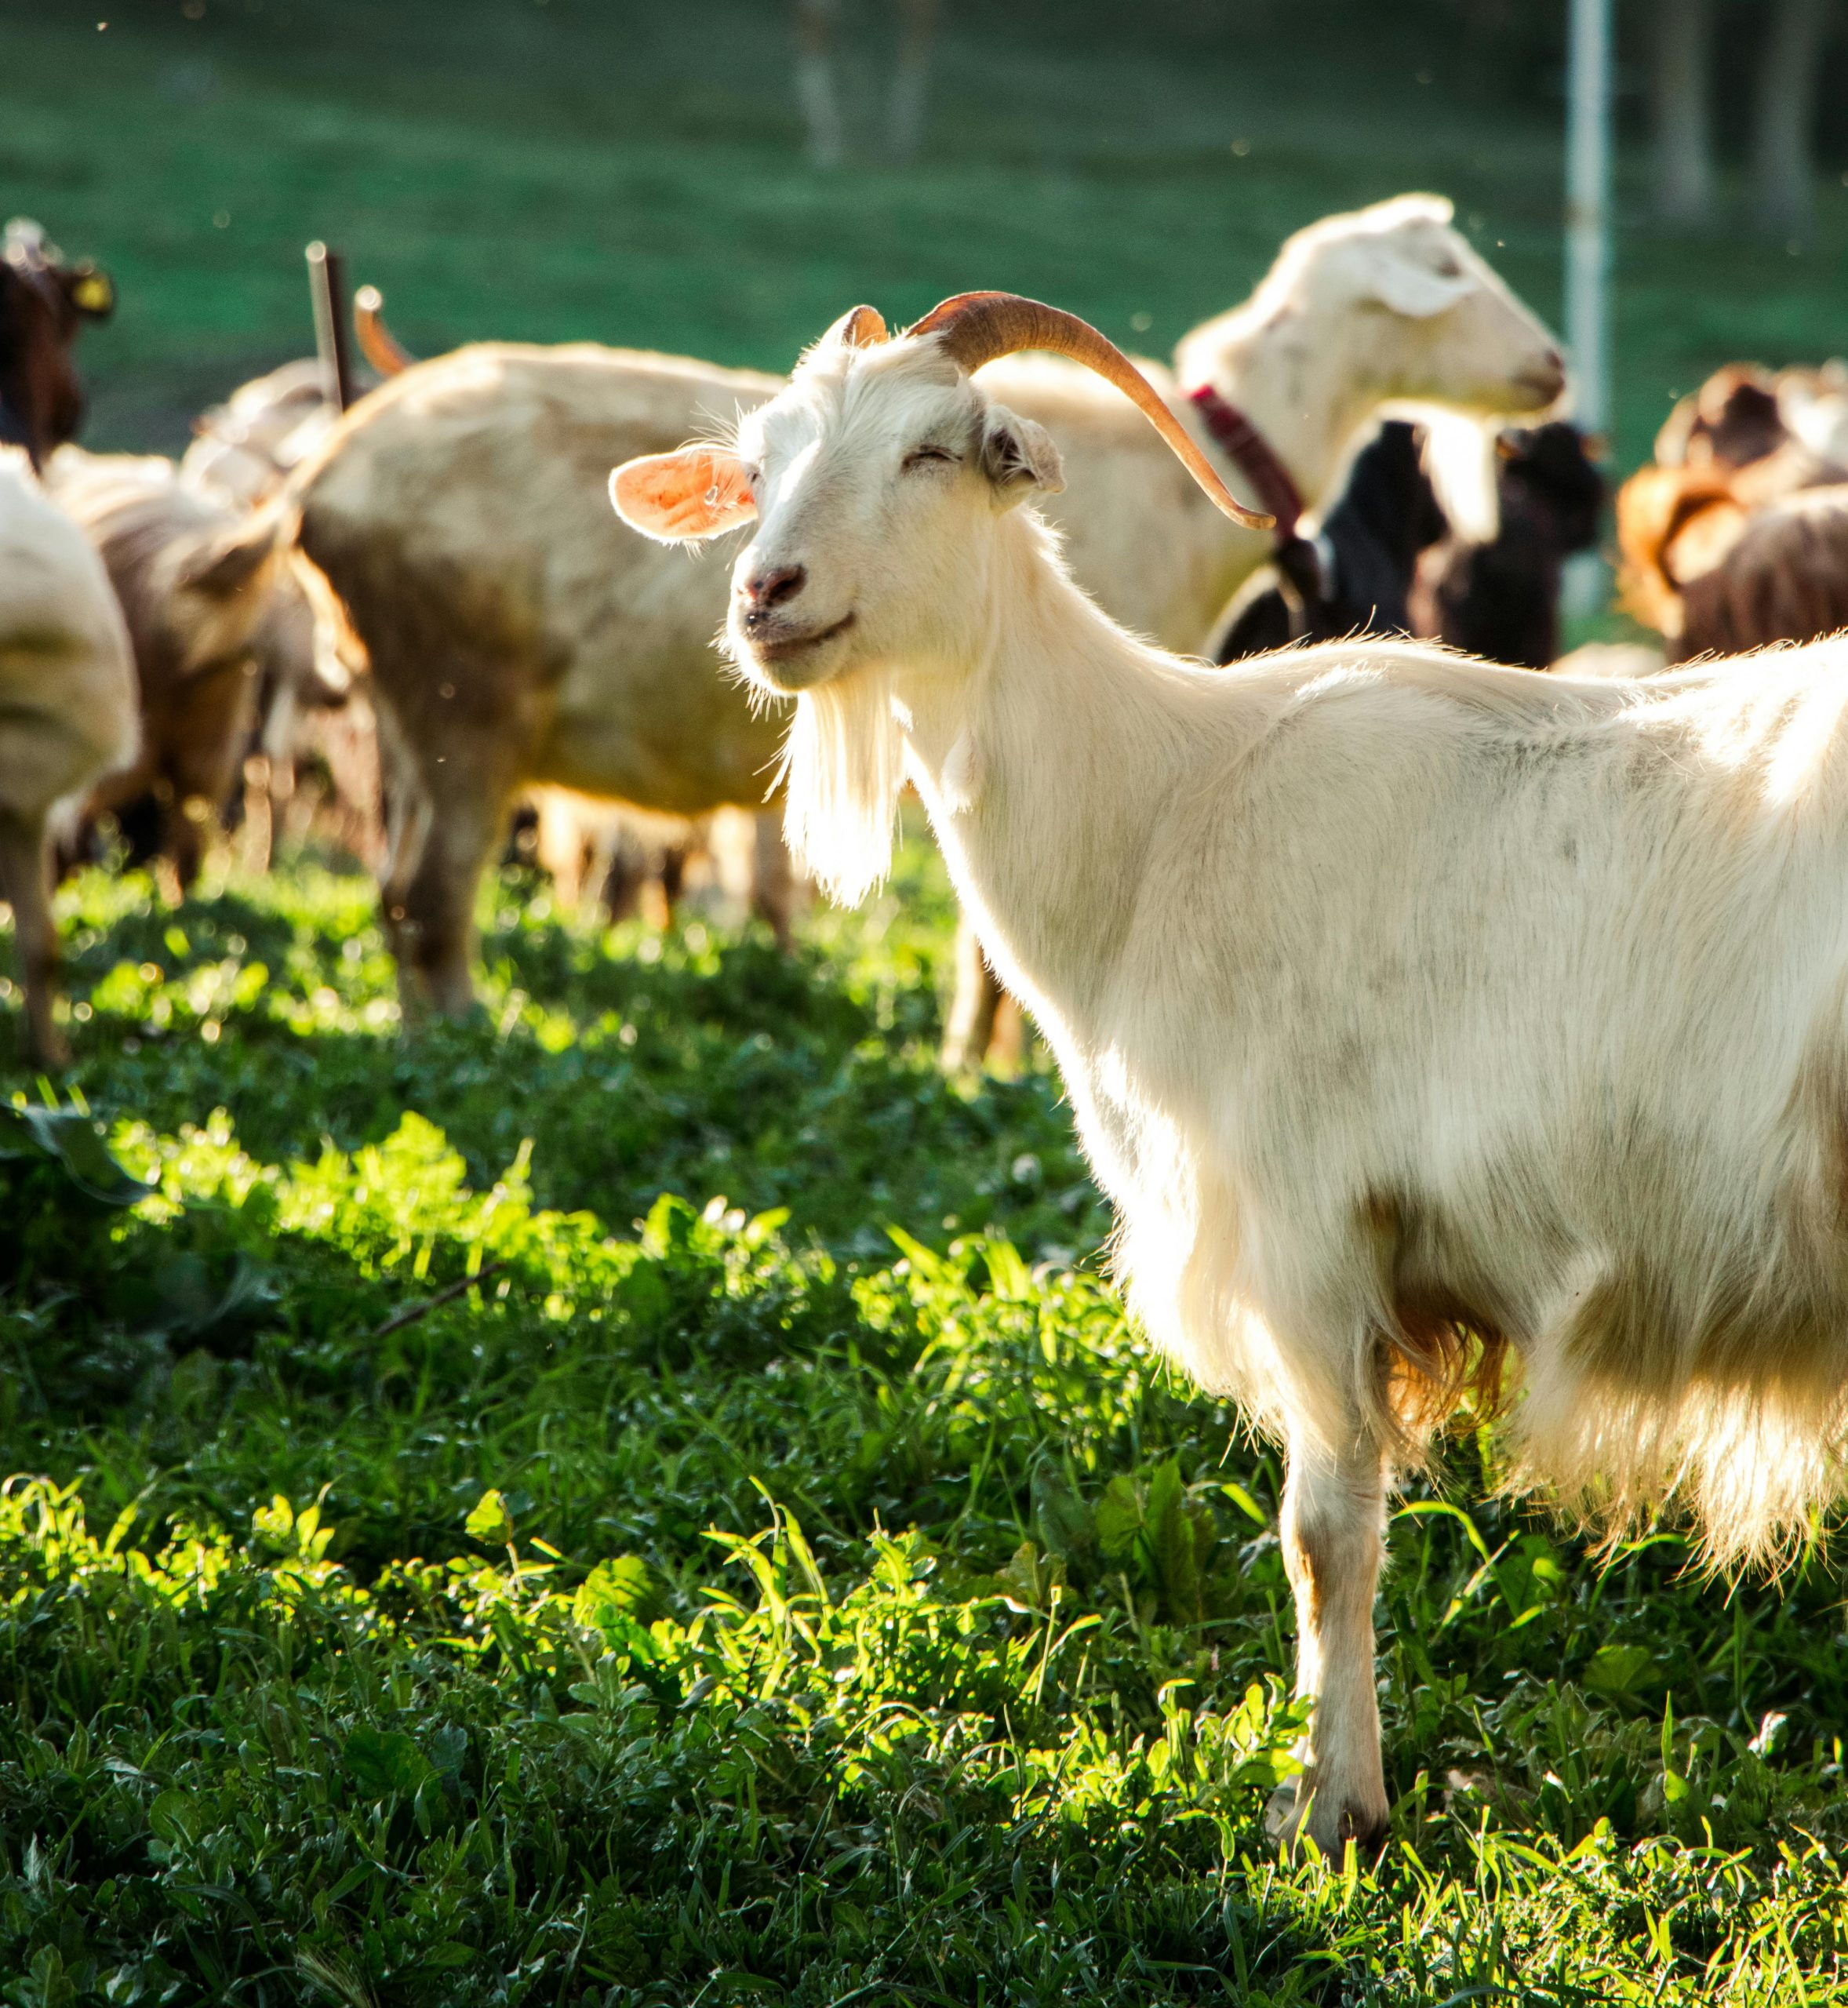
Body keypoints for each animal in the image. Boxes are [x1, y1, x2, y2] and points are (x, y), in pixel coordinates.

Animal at [615, 292, 1848, 1859]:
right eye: (760, 465)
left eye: (937, 450)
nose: (766, 595)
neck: (1162, 811)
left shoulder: (1310, 1228)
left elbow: (1325, 1536)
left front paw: (1332, 1814)